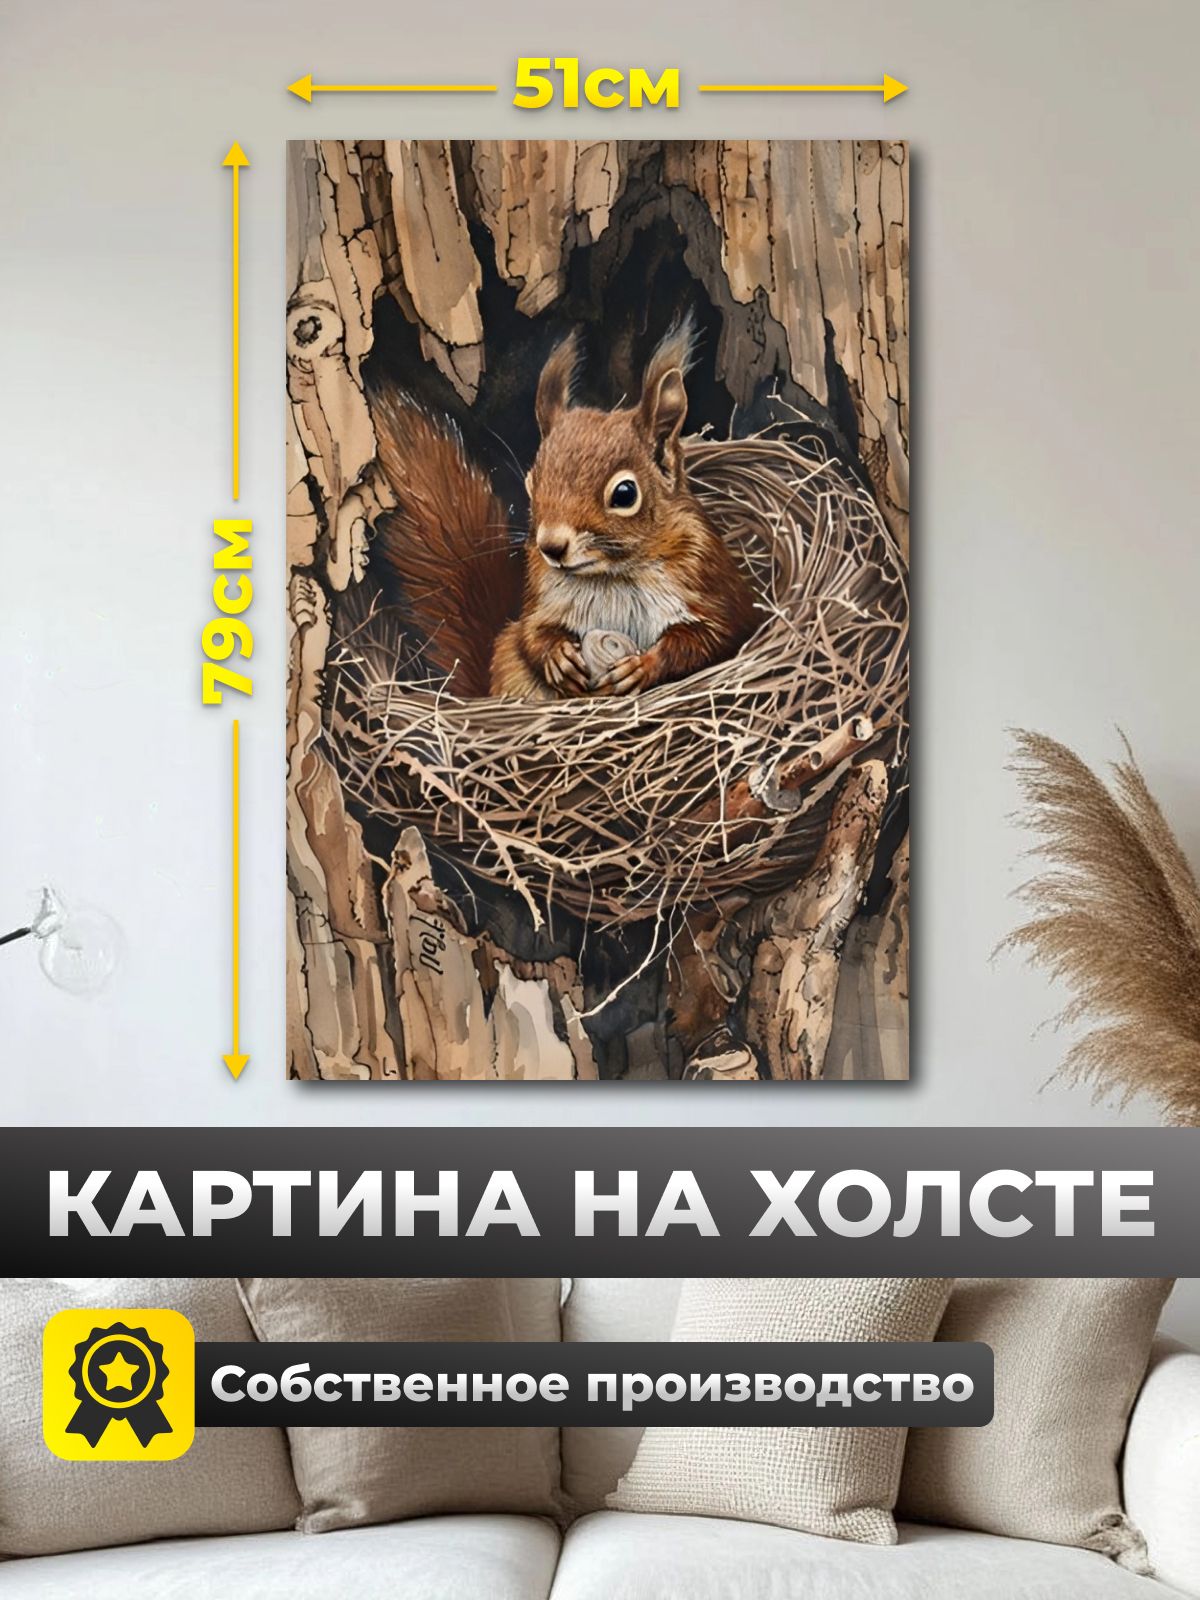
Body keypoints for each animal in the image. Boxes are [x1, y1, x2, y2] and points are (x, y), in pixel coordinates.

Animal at [369, 317, 758, 701]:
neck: (612, 574)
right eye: (531, 484)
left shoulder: (708, 581)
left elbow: (713, 638)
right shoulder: (539, 597)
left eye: (625, 494)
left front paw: (643, 666)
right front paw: (557, 657)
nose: (551, 547)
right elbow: (531, 633)